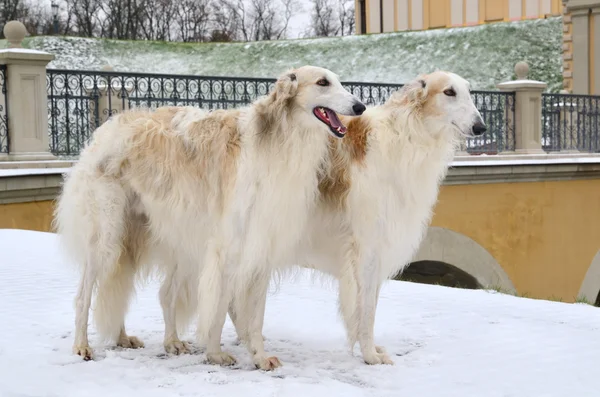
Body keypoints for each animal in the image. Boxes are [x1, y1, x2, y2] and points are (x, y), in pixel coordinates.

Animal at [55, 65, 366, 368]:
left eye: (338, 81)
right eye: (322, 82)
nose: (360, 106)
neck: (277, 140)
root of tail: (106, 128)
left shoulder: (261, 245)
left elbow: (255, 315)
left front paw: (259, 356)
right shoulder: (227, 247)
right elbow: (219, 308)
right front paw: (216, 354)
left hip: (153, 239)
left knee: (152, 291)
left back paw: (154, 340)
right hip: (107, 235)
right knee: (84, 295)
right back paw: (82, 346)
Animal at [226, 70, 488, 366]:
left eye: (468, 91)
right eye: (449, 92)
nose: (480, 128)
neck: (407, 135)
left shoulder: (379, 248)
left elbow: (369, 305)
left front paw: (372, 350)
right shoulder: (367, 248)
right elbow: (366, 310)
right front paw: (370, 355)